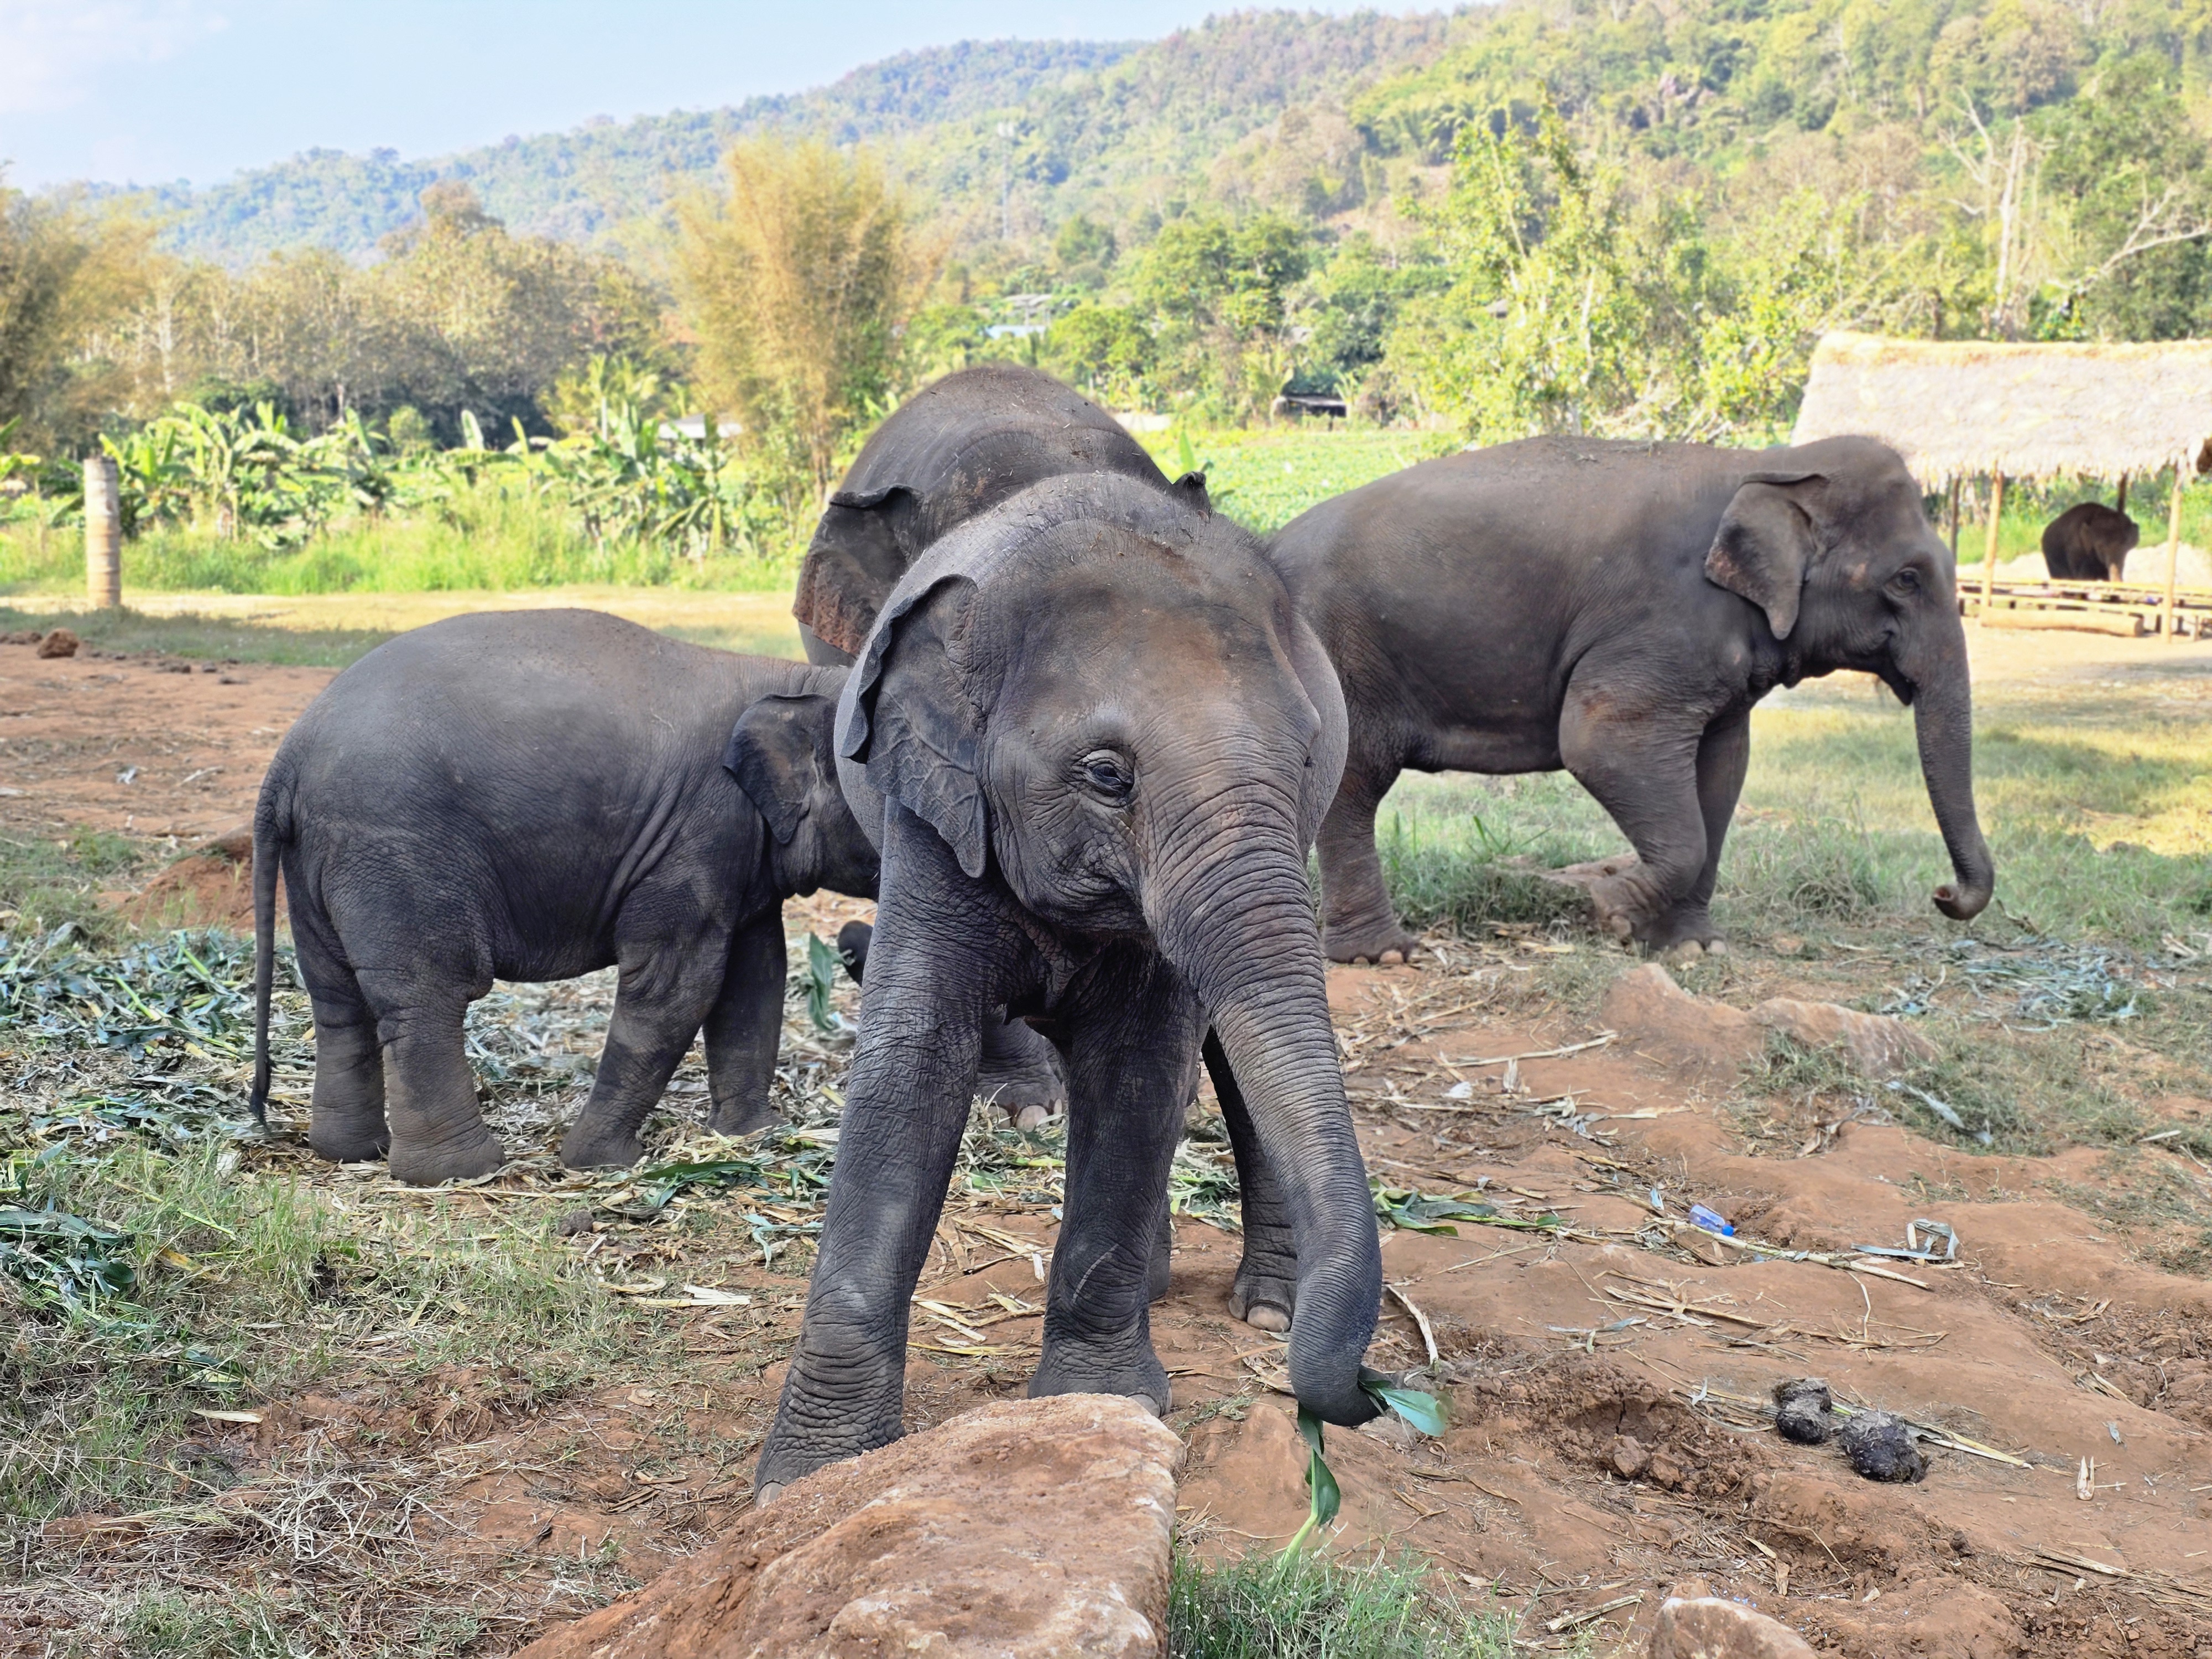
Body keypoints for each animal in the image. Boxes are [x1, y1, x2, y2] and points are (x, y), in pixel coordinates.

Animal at [247, 609, 879, 1185]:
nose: (850, 939)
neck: (793, 679)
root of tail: (287, 760)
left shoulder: (739, 853)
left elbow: (756, 976)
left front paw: (753, 1136)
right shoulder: (696, 834)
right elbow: (676, 985)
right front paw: (601, 1163)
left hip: (319, 859)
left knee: (336, 995)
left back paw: (351, 1153)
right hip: (397, 852)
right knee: (428, 995)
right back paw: (460, 1172)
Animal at [751, 471, 1383, 1499]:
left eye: (1305, 761)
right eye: (1106, 774)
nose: (1367, 1394)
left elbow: (1139, 1073)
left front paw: (1099, 1405)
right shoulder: (934, 815)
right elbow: (911, 1069)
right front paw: (811, 1480)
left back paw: (1268, 1312)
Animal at [1268, 435, 1997, 962]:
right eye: (1905, 579)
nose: (1942, 893)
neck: (1767, 462)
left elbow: (1723, 770)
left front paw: (1691, 947)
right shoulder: (1663, 625)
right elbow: (1599, 741)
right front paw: (1612, 915)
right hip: (1340, 650)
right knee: (1354, 782)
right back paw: (1382, 956)